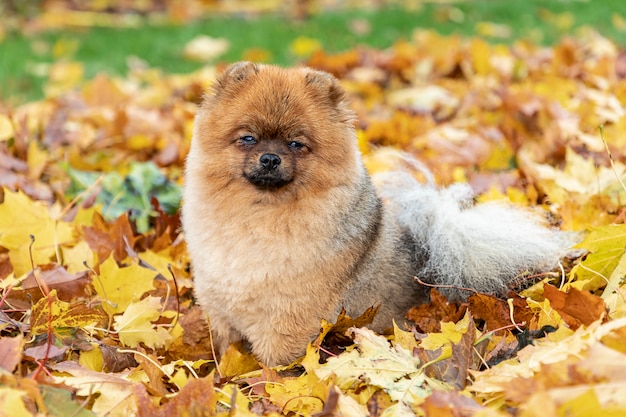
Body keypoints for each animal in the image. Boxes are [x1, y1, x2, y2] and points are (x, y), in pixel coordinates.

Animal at [180, 61, 572, 364]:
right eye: (248, 138)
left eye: (296, 144)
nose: (270, 158)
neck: (258, 214)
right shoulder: (222, 315)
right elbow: (225, 353)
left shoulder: (287, 322)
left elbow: (275, 367)